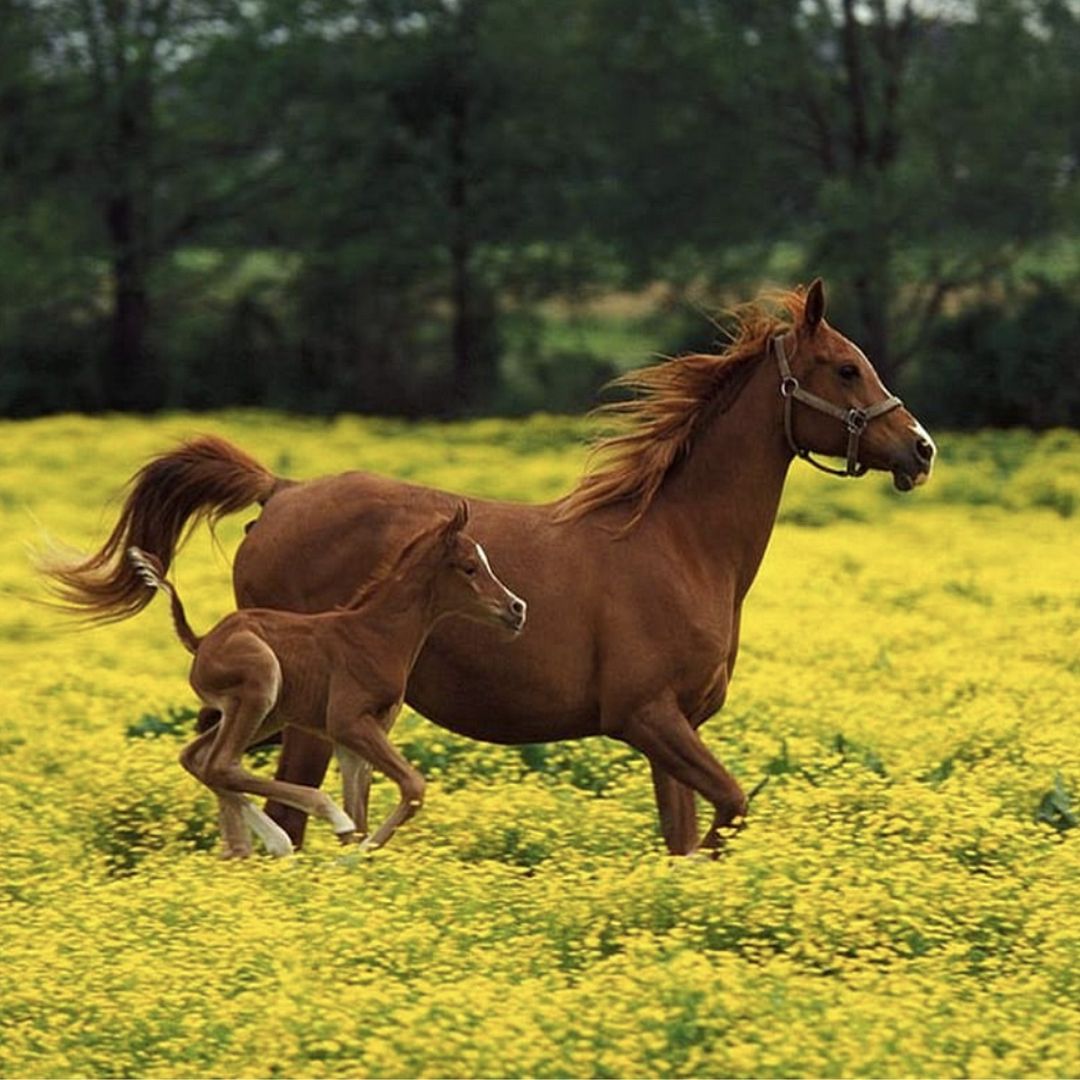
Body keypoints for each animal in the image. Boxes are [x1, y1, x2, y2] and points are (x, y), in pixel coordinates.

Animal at [128, 501, 524, 855]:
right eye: (470, 568)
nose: (517, 608)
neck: (377, 635)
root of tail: (201, 641)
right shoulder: (347, 722)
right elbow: (412, 787)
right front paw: (353, 854)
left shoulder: (358, 736)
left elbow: (362, 809)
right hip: (261, 684)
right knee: (221, 763)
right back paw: (303, 828)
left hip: (268, 714)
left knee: (199, 759)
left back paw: (262, 844)